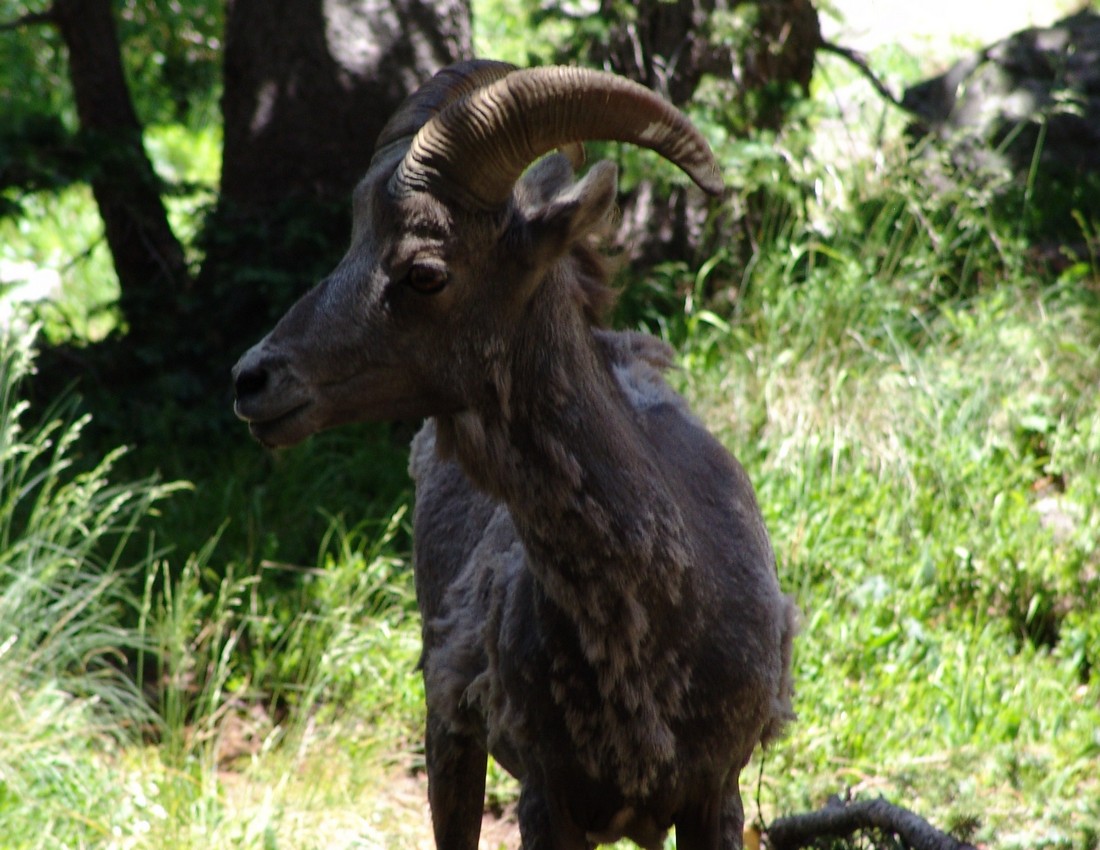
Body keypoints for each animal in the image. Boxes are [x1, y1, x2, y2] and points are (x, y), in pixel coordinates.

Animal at [236, 61, 796, 848]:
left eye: (426, 271)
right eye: (352, 243)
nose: (253, 380)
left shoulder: (715, 793)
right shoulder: (546, 797)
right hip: (447, 736)